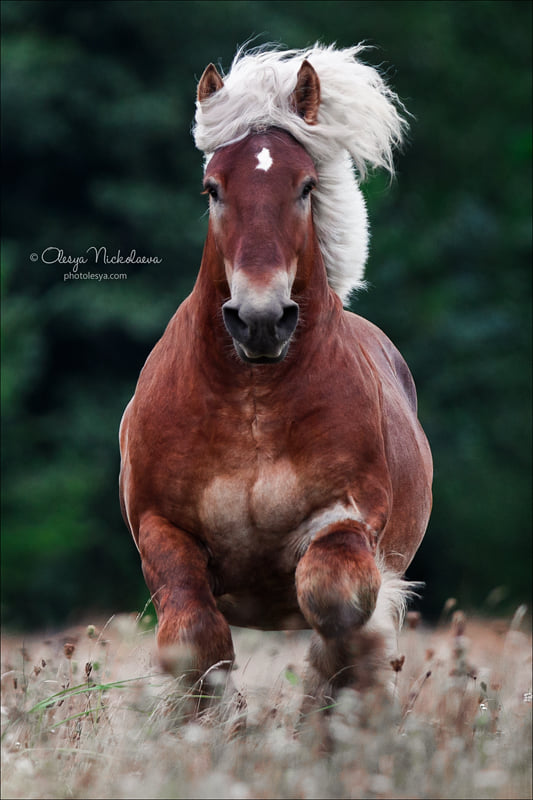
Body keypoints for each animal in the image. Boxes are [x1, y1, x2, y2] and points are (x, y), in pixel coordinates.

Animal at [119, 45, 432, 712]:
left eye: (306, 186)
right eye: (213, 188)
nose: (260, 319)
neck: (253, 404)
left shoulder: (346, 518)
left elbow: (335, 600)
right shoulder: (162, 528)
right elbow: (194, 636)